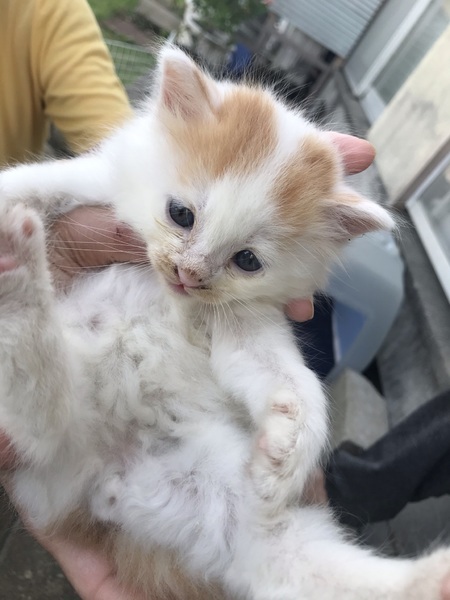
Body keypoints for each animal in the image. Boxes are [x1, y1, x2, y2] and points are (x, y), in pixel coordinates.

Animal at [0, 45, 449, 600]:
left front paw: (286, 449)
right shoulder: (93, 182)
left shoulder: (249, 319)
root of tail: (99, 449)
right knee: (41, 411)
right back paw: (19, 263)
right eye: (181, 214)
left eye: (247, 261)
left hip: (207, 494)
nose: (189, 274)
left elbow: (286, 377)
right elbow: (36, 184)